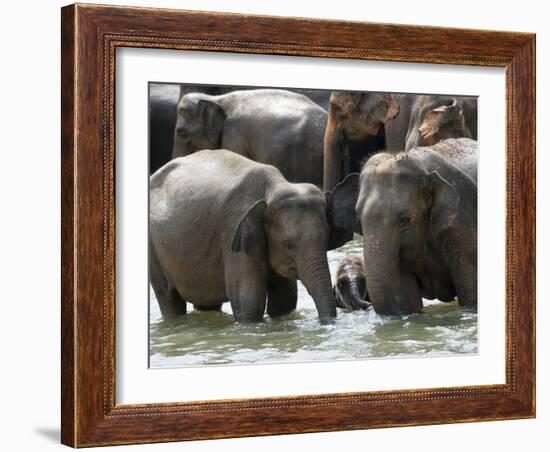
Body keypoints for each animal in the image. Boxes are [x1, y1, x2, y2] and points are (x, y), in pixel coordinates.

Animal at [150, 150, 358, 324]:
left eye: (325, 241)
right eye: (288, 245)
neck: (275, 187)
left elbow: (285, 299)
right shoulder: (233, 234)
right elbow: (248, 301)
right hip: (153, 247)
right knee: (168, 297)